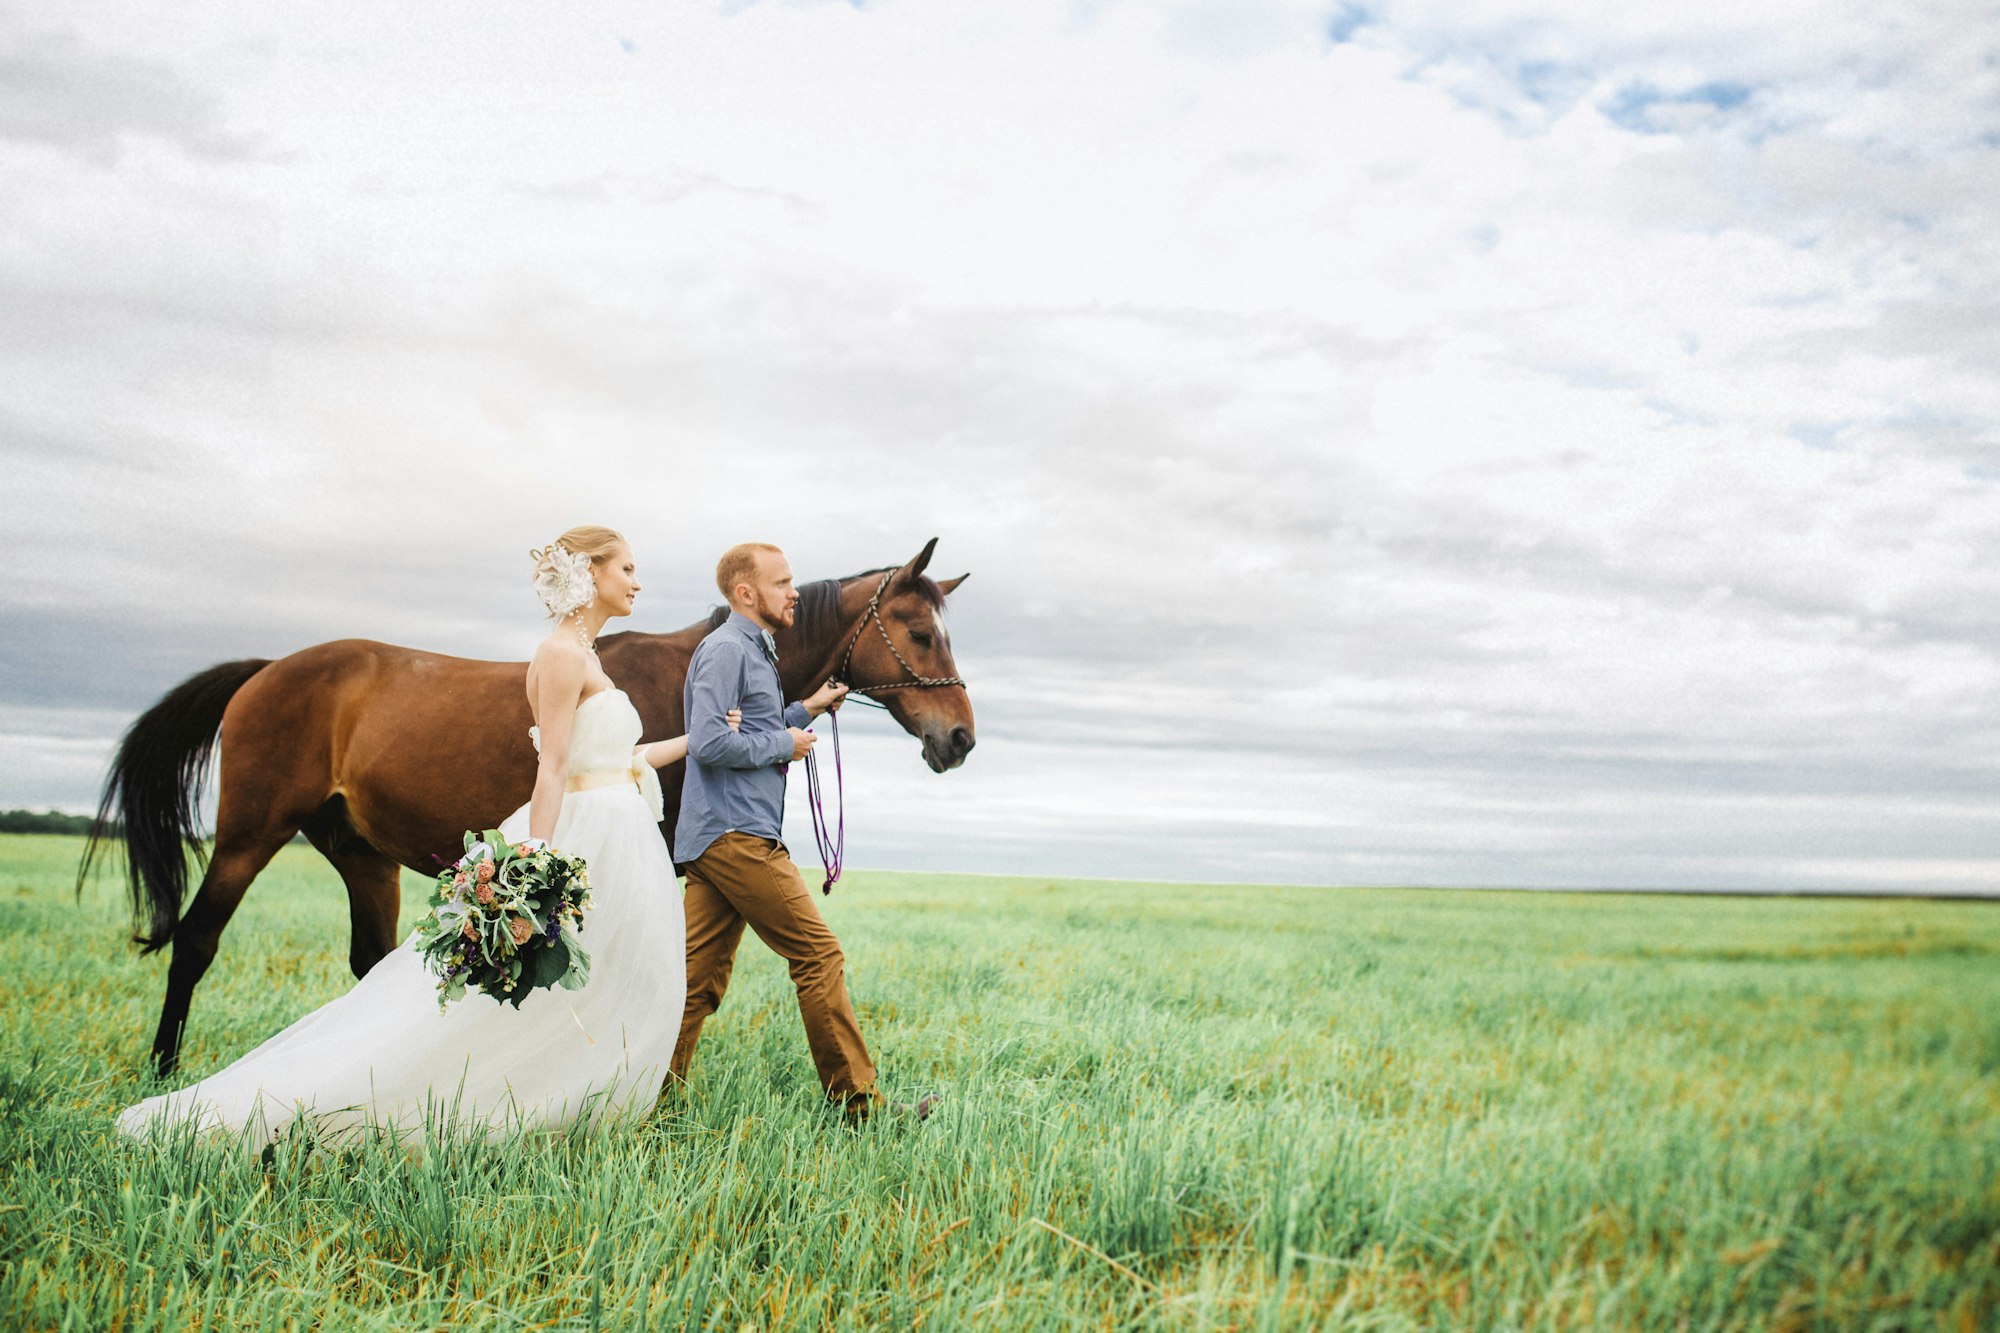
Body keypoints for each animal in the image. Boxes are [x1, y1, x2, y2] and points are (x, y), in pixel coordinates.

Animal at [82, 536, 972, 1072]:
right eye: (920, 632)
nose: (960, 738)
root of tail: (268, 668)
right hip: (248, 836)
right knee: (196, 941)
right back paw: (163, 1068)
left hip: (361, 855)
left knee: (369, 963)